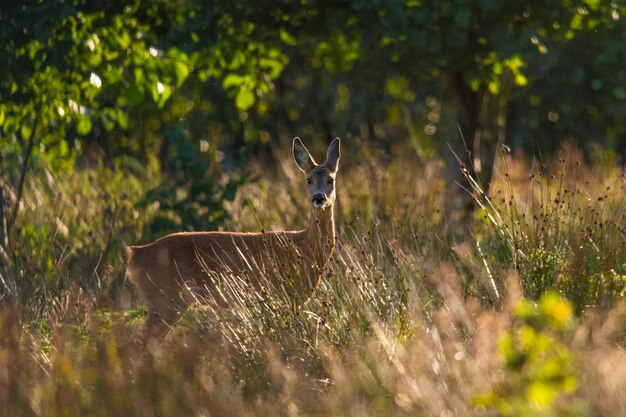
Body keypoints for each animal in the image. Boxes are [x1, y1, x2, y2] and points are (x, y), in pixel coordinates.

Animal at [125, 138, 338, 340]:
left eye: (331, 180)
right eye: (308, 179)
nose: (319, 197)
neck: (304, 247)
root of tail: (135, 254)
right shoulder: (281, 294)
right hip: (165, 298)